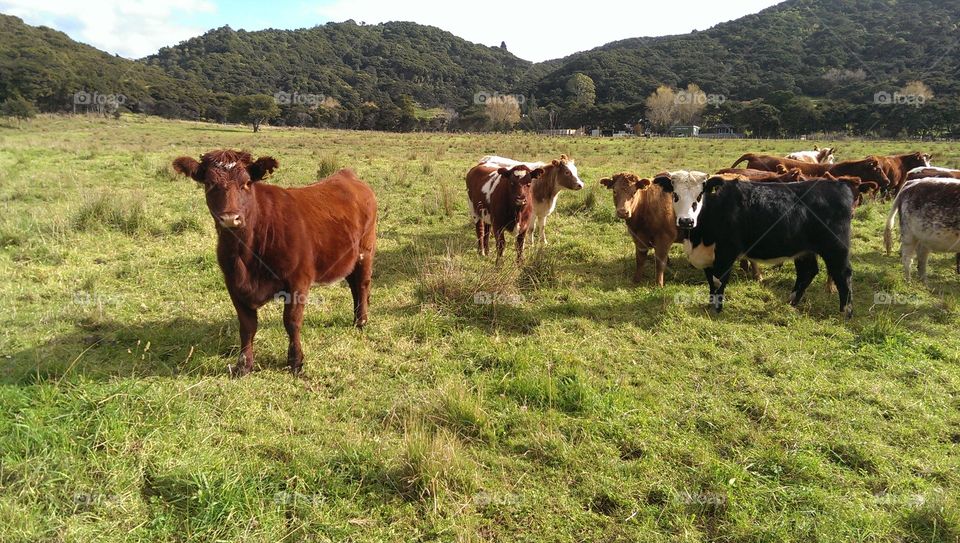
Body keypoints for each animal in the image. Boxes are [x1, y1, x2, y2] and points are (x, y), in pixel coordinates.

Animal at [172, 150, 377, 377]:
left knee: (362, 284)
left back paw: (361, 321)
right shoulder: (233, 284)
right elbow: (247, 326)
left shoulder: (298, 281)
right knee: (353, 285)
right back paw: (356, 318)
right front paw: (244, 365)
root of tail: (346, 175)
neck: (245, 254)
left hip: (365, 251)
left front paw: (296, 361)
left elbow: (292, 321)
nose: (230, 218)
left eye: (246, 183)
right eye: (209, 184)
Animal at [653, 171, 855, 318]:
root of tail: (839, 185)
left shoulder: (726, 253)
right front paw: (710, 304)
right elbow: (711, 281)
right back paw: (791, 302)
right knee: (808, 272)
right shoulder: (708, 255)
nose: (686, 221)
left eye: (700, 195)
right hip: (803, 250)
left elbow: (719, 280)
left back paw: (845, 312)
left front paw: (717, 309)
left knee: (843, 274)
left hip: (836, 248)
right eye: (675, 194)